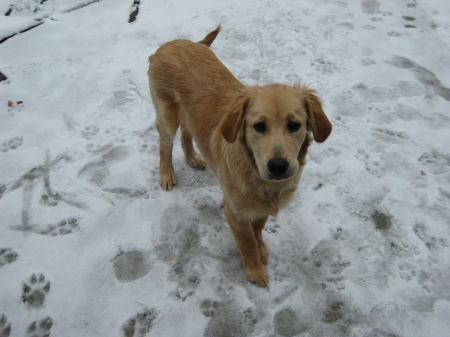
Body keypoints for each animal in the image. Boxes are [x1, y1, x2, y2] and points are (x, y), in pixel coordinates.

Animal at [149, 25, 332, 286]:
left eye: (294, 125)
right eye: (259, 126)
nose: (278, 166)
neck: (255, 172)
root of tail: (172, 43)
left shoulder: (261, 207)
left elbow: (259, 227)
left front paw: (261, 247)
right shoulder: (235, 210)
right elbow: (246, 242)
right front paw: (254, 269)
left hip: (186, 115)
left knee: (187, 132)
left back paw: (192, 157)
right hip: (167, 116)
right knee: (165, 145)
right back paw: (166, 174)